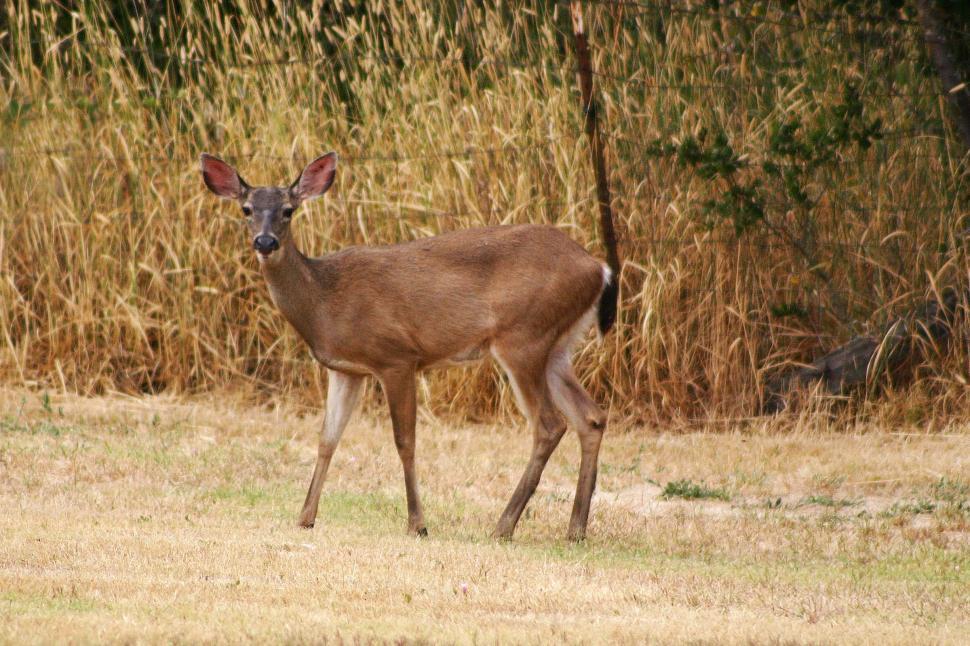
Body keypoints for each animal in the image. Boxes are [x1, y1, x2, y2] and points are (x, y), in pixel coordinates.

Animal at [199, 151, 619, 541]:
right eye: (247, 209)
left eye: (288, 210)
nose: (265, 241)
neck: (324, 300)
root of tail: (599, 269)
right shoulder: (346, 370)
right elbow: (327, 440)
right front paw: (305, 517)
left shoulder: (396, 357)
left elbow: (405, 441)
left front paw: (418, 523)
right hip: (557, 347)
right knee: (591, 416)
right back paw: (575, 529)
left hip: (523, 337)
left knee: (550, 424)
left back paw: (504, 526)